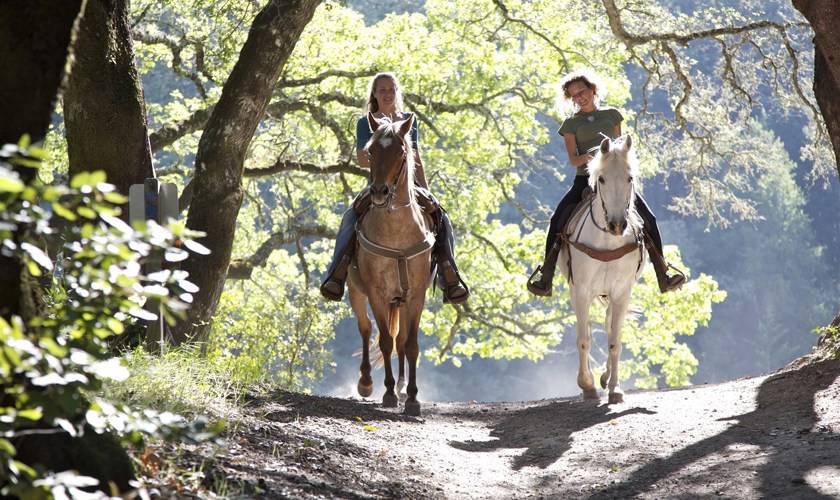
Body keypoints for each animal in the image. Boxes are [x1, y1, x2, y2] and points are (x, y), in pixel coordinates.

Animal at [346, 112, 435, 416]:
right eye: (371, 151)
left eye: (401, 152)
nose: (380, 192)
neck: (396, 233)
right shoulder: (377, 293)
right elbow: (384, 341)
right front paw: (387, 394)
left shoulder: (416, 295)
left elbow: (410, 345)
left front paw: (412, 398)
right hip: (356, 291)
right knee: (365, 329)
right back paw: (366, 382)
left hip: (401, 301)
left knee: (401, 341)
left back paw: (401, 385)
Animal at [558, 136, 646, 404]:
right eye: (602, 179)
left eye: (629, 177)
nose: (617, 225)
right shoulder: (581, 290)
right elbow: (584, 340)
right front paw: (586, 385)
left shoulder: (622, 292)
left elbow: (614, 341)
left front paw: (615, 388)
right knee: (586, 328)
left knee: (608, 326)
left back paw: (606, 378)